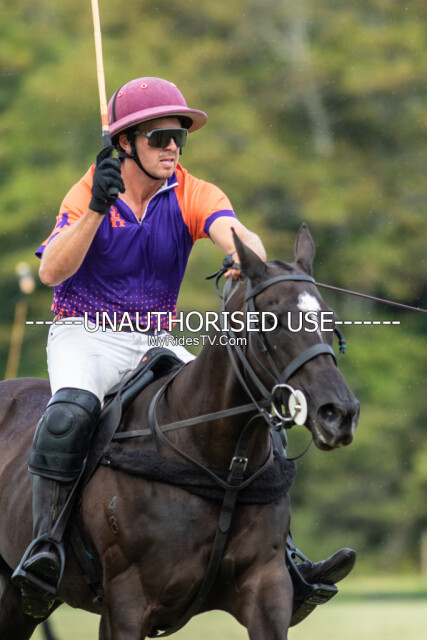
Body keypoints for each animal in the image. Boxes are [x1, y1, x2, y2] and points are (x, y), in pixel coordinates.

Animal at [0, 224, 359, 640]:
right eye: (272, 319)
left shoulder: (267, 587)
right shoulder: (126, 603)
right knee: (68, 415)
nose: (339, 413)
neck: (223, 466)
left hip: (21, 603)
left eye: (329, 318)